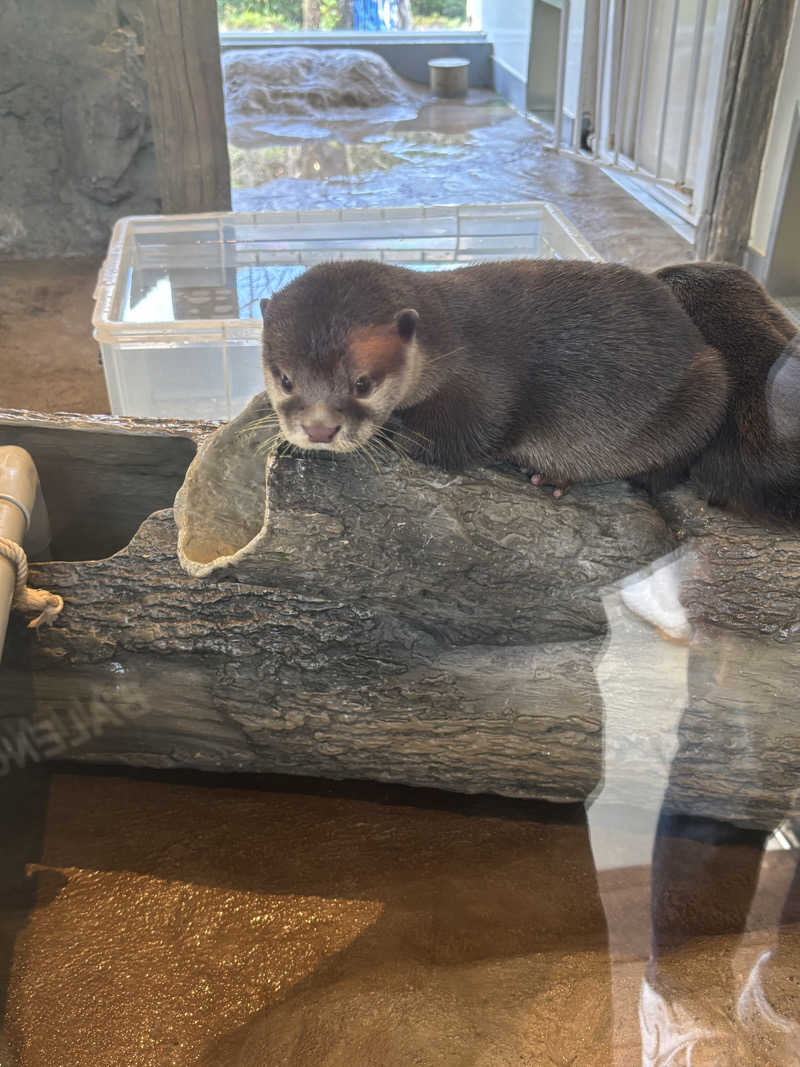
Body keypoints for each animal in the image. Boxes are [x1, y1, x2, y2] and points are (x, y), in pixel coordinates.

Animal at [260, 258, 729, 490]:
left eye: (363, 383)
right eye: (285, 380)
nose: (319, 430)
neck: (449, 344)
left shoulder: (483, 388)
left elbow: (467, 439)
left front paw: (397, 434)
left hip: (710, 389)